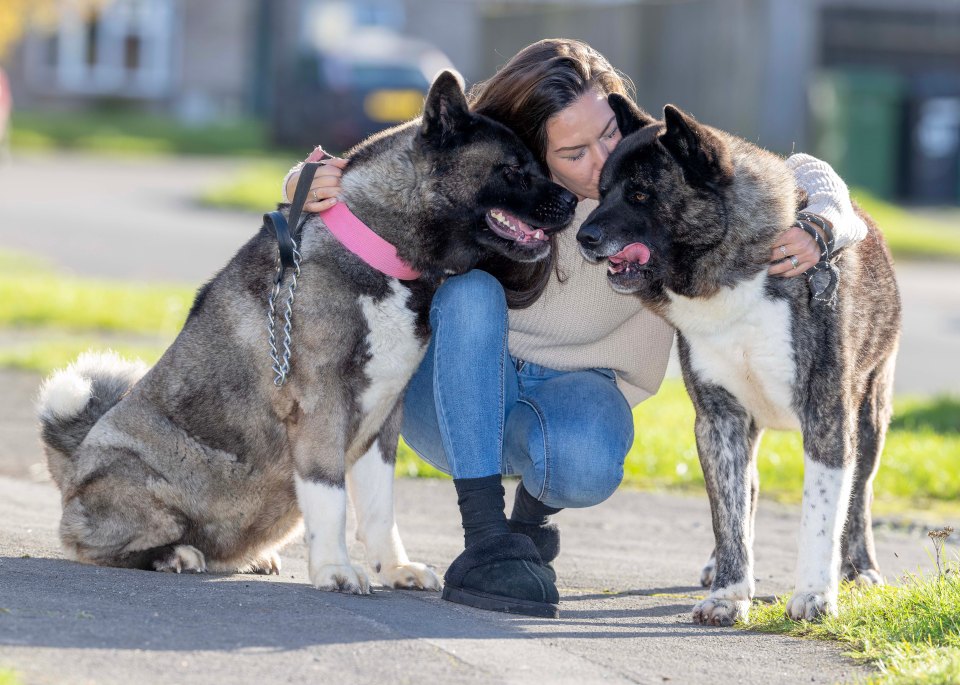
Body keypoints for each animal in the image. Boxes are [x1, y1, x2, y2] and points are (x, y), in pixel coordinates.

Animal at [35, 72, 576, 592]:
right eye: (512, 169)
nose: (573, 199)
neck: (378, 250)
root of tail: (74, 466)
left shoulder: (385, 420)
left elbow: (379, 507)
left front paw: (393, 567)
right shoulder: (321, 407)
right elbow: (330, 497)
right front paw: (335, 569)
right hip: (136, 481)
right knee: (96, 546)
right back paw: (174, 555)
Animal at [576, 96, 900, 624]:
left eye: (641, 194)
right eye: (602, 192)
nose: (583, 236)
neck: (736, 276)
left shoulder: (827, 420)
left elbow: (821, 513)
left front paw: (815, 594)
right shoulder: (719, 420)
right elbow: (726, 511)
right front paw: (729, 593)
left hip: (871, 416)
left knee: (860, 495)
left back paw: (862, 568)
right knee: (747, 491)